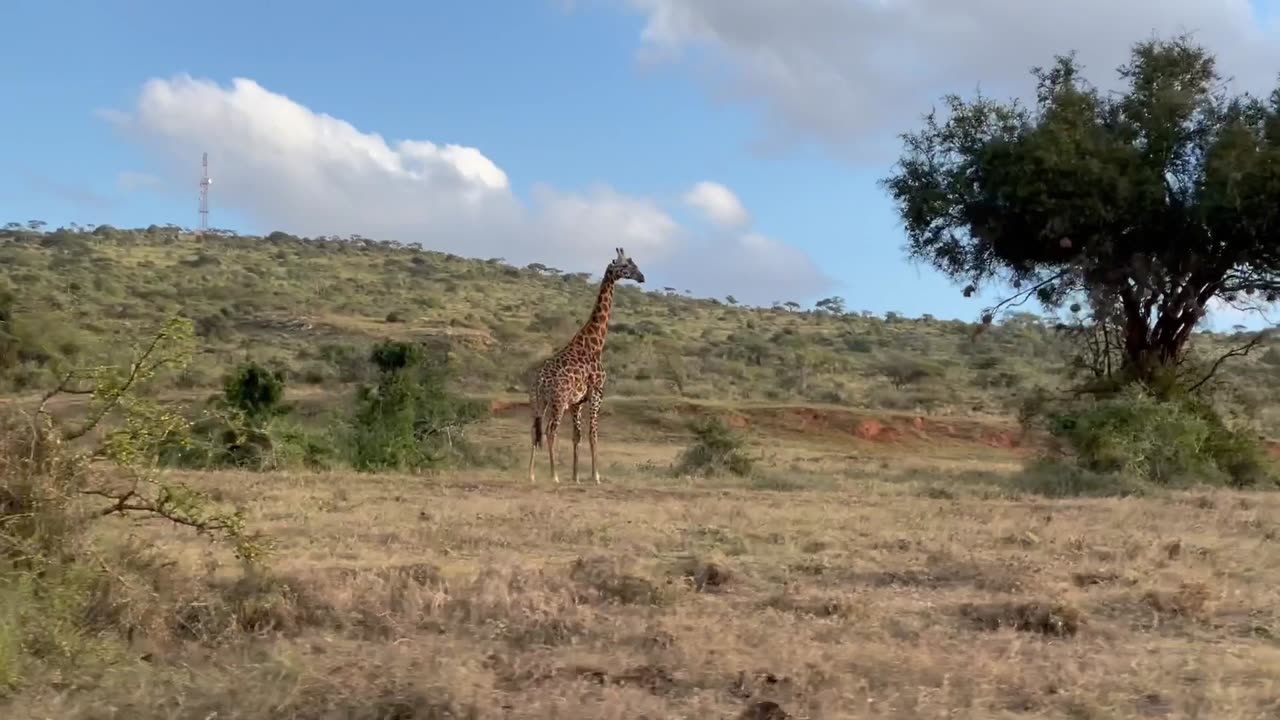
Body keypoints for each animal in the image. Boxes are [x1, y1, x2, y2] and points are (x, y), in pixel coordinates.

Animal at [529, 244, 650, 481]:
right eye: (627, 266)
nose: (642, 277)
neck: (594, 343)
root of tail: (539, 380)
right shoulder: (596, 391)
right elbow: (593, 433)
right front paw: (596, 476)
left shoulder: (577, 402)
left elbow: (577, 436)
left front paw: (576, 477)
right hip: (558, 401)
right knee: (550, 430)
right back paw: (554, 475)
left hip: (541, 401)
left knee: (534, 429)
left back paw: (530, 474)